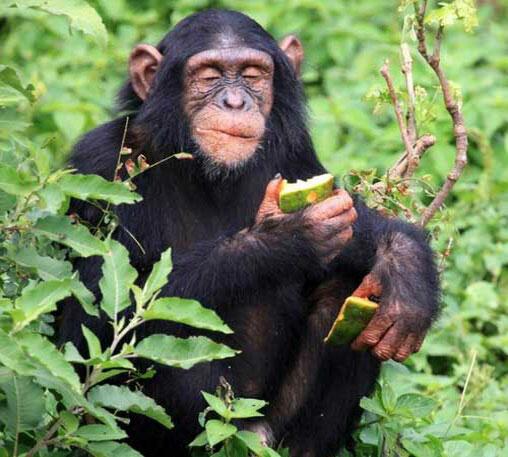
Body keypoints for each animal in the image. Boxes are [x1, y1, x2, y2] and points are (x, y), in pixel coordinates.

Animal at [57, 8, 438, 456]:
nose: (235, 101)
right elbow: (91, 324)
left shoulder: (296, 151)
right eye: (209, 75)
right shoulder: (99, 164)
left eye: (253, 75)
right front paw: (283, 238)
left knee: (351, 289)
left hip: (272, 423)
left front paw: (405, 265)